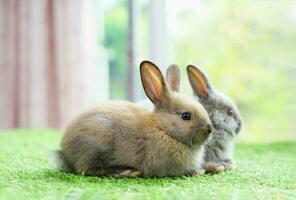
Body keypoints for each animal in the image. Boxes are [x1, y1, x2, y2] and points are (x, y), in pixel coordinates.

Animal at [56, 60, 213, 177]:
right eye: (186, 116)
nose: (209, 129)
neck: (163, 129)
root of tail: (64, 151)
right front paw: (198, 171)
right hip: (96, 143)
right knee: (86, 169)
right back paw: (127, 172)